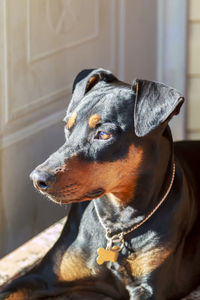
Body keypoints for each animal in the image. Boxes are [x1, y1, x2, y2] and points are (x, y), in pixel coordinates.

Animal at [1, 68, 200, 300]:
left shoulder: (148, 290)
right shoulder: (40, 276)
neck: (117, 223)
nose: (37, 178)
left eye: (104, 134)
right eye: (68, 126)